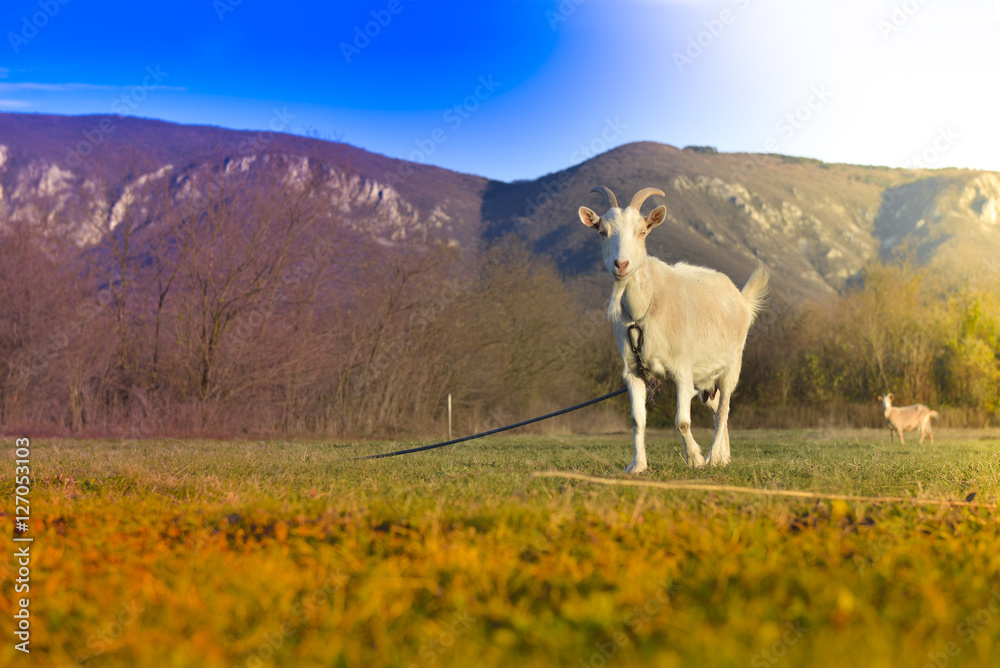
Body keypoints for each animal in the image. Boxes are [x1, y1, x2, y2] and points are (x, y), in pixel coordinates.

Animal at [579, 186, 769, 472]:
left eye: (642, 231)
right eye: (602, 232)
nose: (621, 264)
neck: (643, 309)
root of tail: (741, 299)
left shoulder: (682, 369)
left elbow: (682, 421)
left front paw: (696, 459)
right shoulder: (633, 371)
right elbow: (637, 420)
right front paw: (638, 465)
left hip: (732, 365)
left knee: (724, 409)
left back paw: (713, 456)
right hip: (705, 378)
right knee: (716, 410)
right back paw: (723, 457)